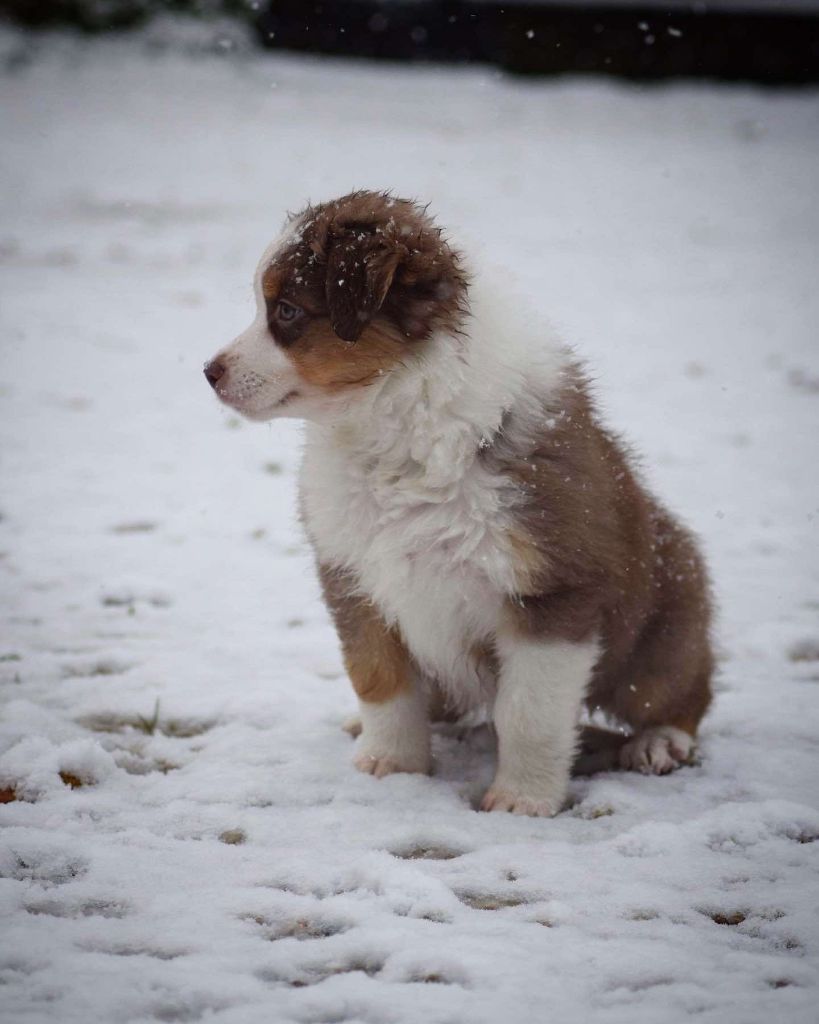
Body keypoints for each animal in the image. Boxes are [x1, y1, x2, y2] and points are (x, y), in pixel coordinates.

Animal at [207, 190, 712, 815]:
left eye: (287, 313)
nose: (208, 372)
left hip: (666, 615)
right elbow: (379, 679)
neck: (394, 434)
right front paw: (390, 764)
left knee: (682, 687)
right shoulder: (355, 576)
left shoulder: (555, 591)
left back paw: (659, 741)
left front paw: (522, 799)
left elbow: (529, 713)